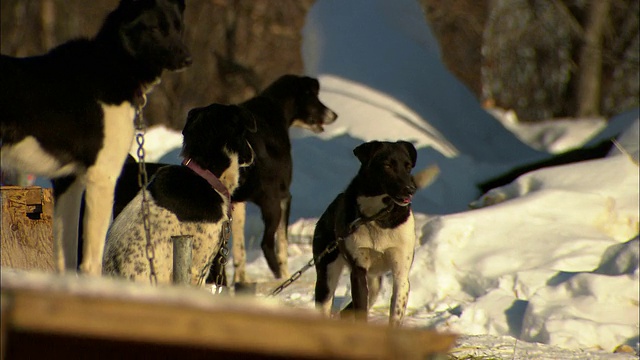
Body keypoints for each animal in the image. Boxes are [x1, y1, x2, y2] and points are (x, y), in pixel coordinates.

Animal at [0, 0, 191, 276]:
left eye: (178, 26)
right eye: (155, 28)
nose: (187, 58)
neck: (113, 64)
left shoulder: (68, 182)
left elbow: (65, 259)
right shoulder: (102, 176)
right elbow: (90, 262)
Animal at [231, 74, 340, 282]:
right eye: (314, 97)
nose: (335, 115)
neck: (275, 106)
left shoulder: (237, 203)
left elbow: (239, 249)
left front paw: (240, 280)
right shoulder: (285, 196)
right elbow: (282, 244)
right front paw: (286, 275)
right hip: (272, 203)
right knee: (266, 244)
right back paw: (279, 276)